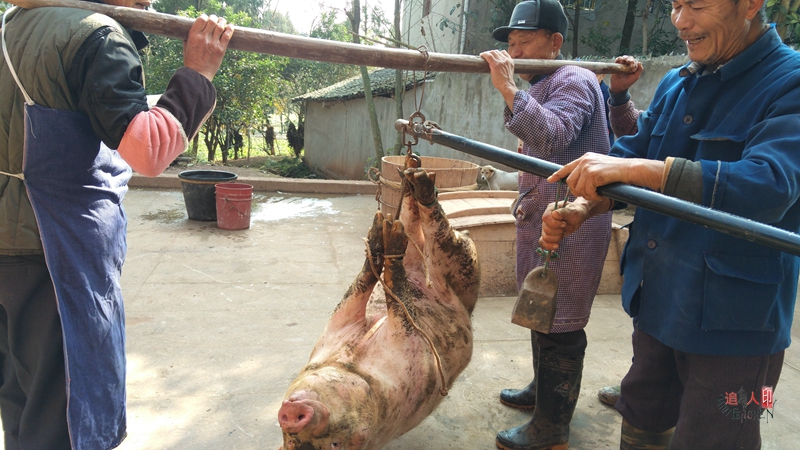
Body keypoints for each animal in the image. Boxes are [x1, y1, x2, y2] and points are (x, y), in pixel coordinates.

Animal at [278, 167, 478, 448]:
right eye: (335, 443)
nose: (289, 414)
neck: (352, 363)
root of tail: (468, 310)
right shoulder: (407, 345)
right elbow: (400, 309)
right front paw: (388, 245)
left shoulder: (338, 325)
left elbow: (358, 290)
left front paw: (377, 238)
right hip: (460, 266)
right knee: (433, 230)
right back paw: (409, 204)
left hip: (461, 265)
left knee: (421, 221)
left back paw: (406, 192)